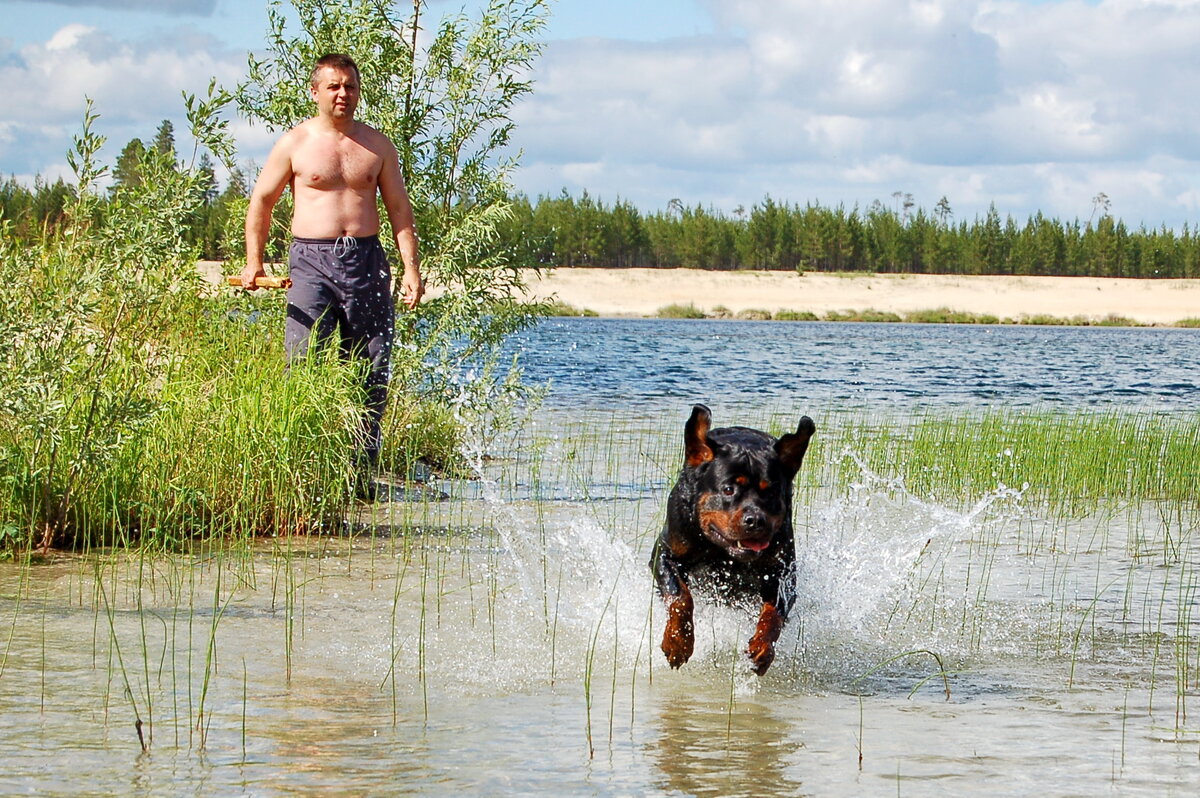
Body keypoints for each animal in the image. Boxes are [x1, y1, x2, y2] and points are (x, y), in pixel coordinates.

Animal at [648, 405, 816, 672]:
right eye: (728, 489)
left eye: (771, 492)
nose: (755, 520)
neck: (722, 551)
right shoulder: (665, 554)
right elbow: (681, 597)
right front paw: (678, 642)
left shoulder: (783, 573)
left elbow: (774, 613)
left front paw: (763, 646)